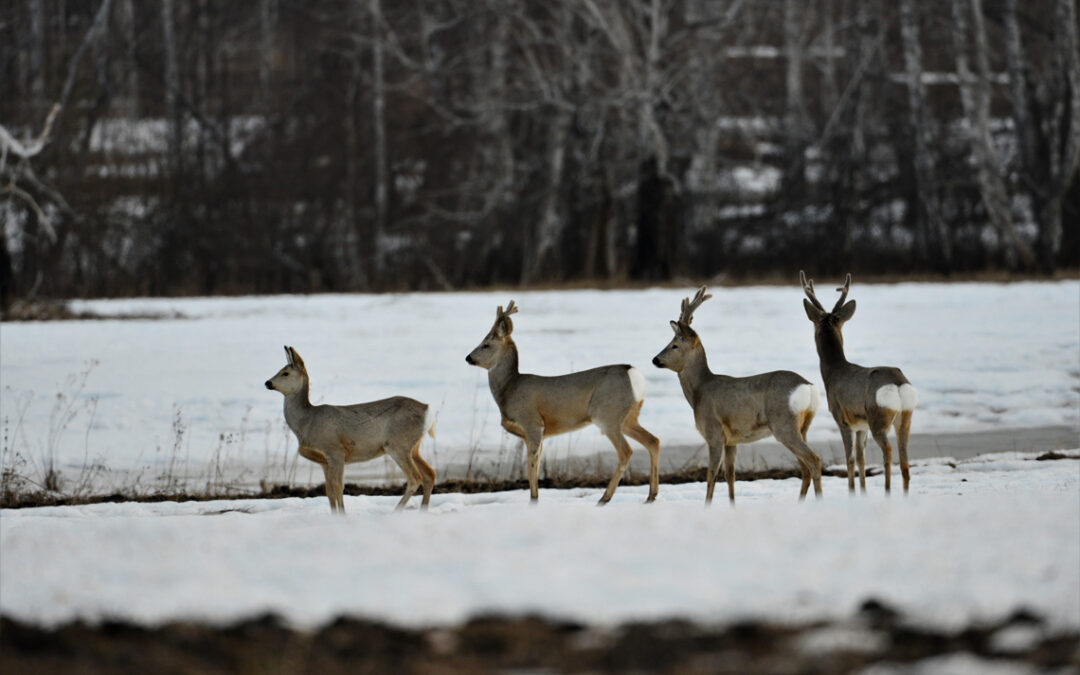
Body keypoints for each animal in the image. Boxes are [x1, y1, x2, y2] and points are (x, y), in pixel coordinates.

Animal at [263, 345, 436, 514]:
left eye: (285, 373)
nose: (267, 383)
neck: (307, 422)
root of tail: (427, 409)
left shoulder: (336, 451)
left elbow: (338, 487)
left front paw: (343, 516)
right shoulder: (324, 461)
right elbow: (329, 491)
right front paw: (334, 516)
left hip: (398, 444)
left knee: (415, 478)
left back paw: (396, 512)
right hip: (413, 447)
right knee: (430, 474)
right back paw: (423, 511)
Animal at [464, 302, 656, 503]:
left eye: (486, 345)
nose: (468, 357)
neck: (510, 388)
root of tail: (634, 374)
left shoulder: (532, 422)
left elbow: (532, 466)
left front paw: (534, 499)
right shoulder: (534, 433)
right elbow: (535, 465)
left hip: (607, 415)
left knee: (626, 451)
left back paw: (604, 498)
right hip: (628, 417)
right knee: (653, 441)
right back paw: (651, 495)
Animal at [652, 287, 820, 503]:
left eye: (674, 345)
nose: (655, 359)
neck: (699, 390)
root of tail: (809, 387)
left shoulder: (714, 432)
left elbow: (711, 475)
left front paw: (707, 506)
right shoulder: (732, 439)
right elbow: (730, 475)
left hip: (784, 425)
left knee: (814, 461)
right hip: (803, 427)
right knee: (805, 468)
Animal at [803, 271, 920, 492]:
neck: (834, 371)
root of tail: (899, 384)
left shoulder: (843, 419)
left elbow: (850, 459)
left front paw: (852, 492)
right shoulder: (861, 426)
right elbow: (861, 459)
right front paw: (863, 493)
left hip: (879, 416)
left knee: (888, 451)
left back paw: (887, 491)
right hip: (905, 417)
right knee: (905, 461)